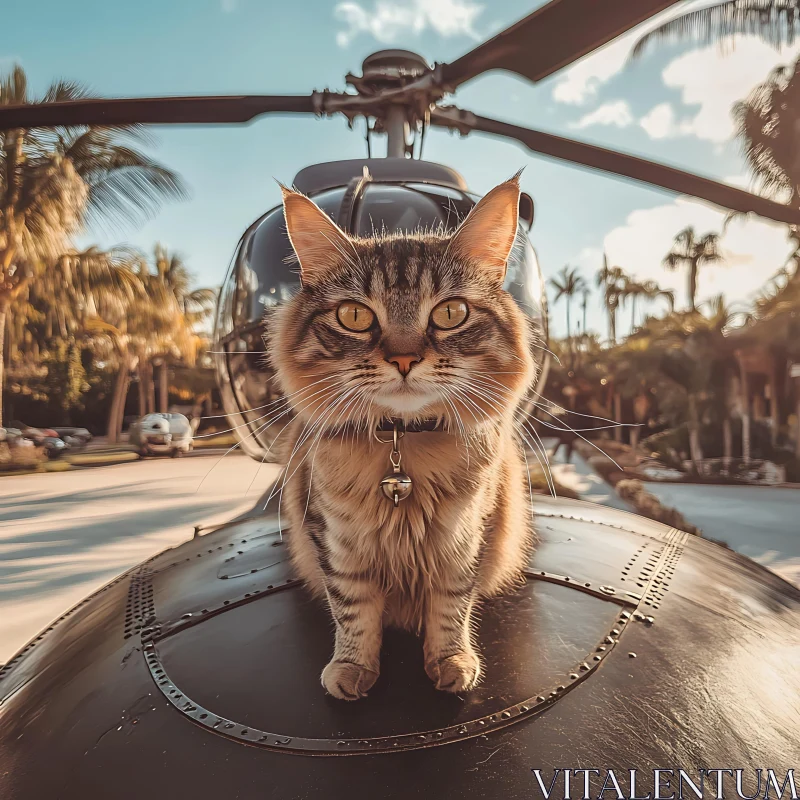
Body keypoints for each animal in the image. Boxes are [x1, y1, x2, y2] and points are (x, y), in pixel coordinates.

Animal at [268, 175, 536, 700]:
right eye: (355, 317)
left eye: (451, 313)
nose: (405, 358)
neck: (402, 448)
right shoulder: (334, 539)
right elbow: (352, 611)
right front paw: (351, 670)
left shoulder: (465, 535)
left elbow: (451, 606)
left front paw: (452, 664)